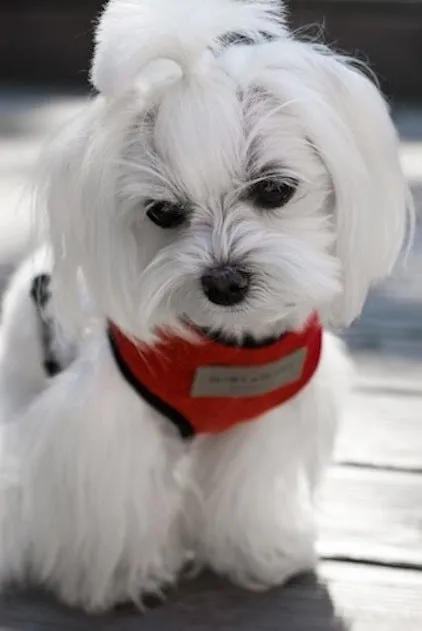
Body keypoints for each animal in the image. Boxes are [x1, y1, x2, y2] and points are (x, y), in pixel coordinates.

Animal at [0, 0, 412, 616]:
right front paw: (117, 579)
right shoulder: (106, 421)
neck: (227, 343)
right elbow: (116, 499)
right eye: (163, 212)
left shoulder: (268, 417)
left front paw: (260, 554)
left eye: (275, 189)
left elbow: (248, 490)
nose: (224, 282)